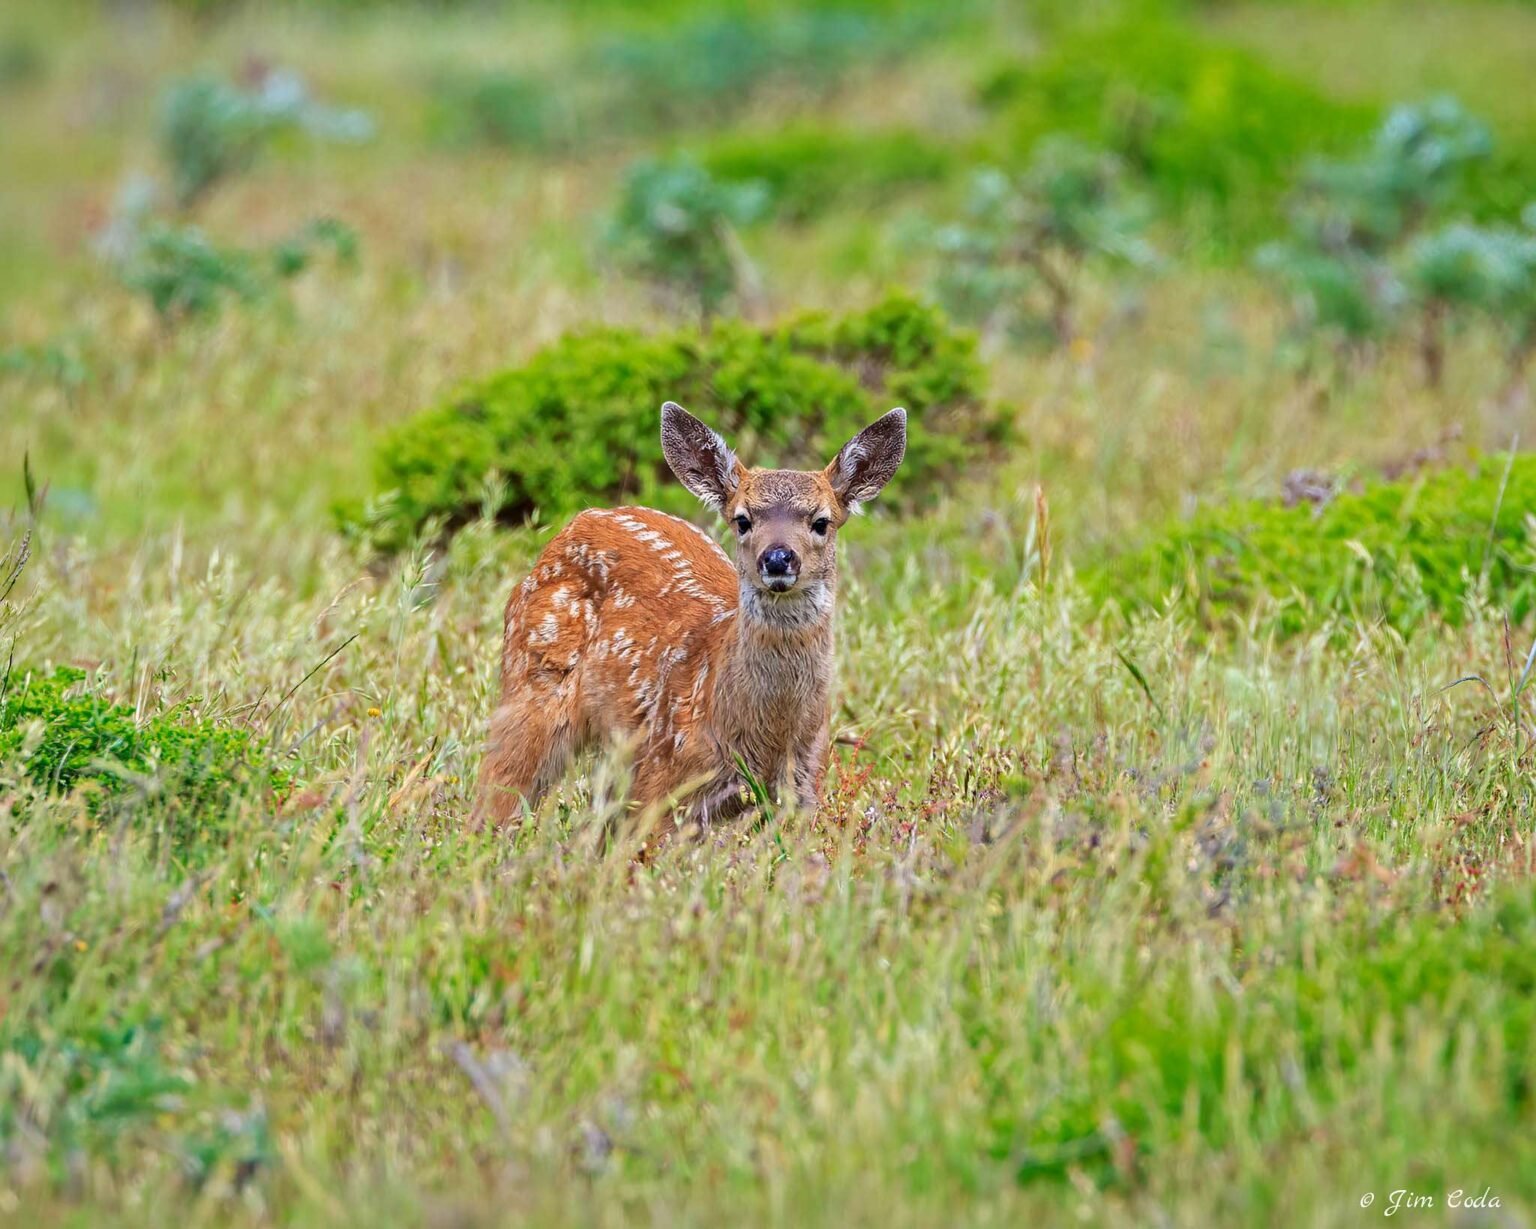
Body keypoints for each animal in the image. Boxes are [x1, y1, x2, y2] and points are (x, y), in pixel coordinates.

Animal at [474, 400, 907, 836]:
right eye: (742, 520)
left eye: (821, 522)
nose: (778, 558)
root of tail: (576, 523)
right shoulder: (662, 779)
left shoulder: (803, 788)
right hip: (532, 686)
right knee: (495, 788)